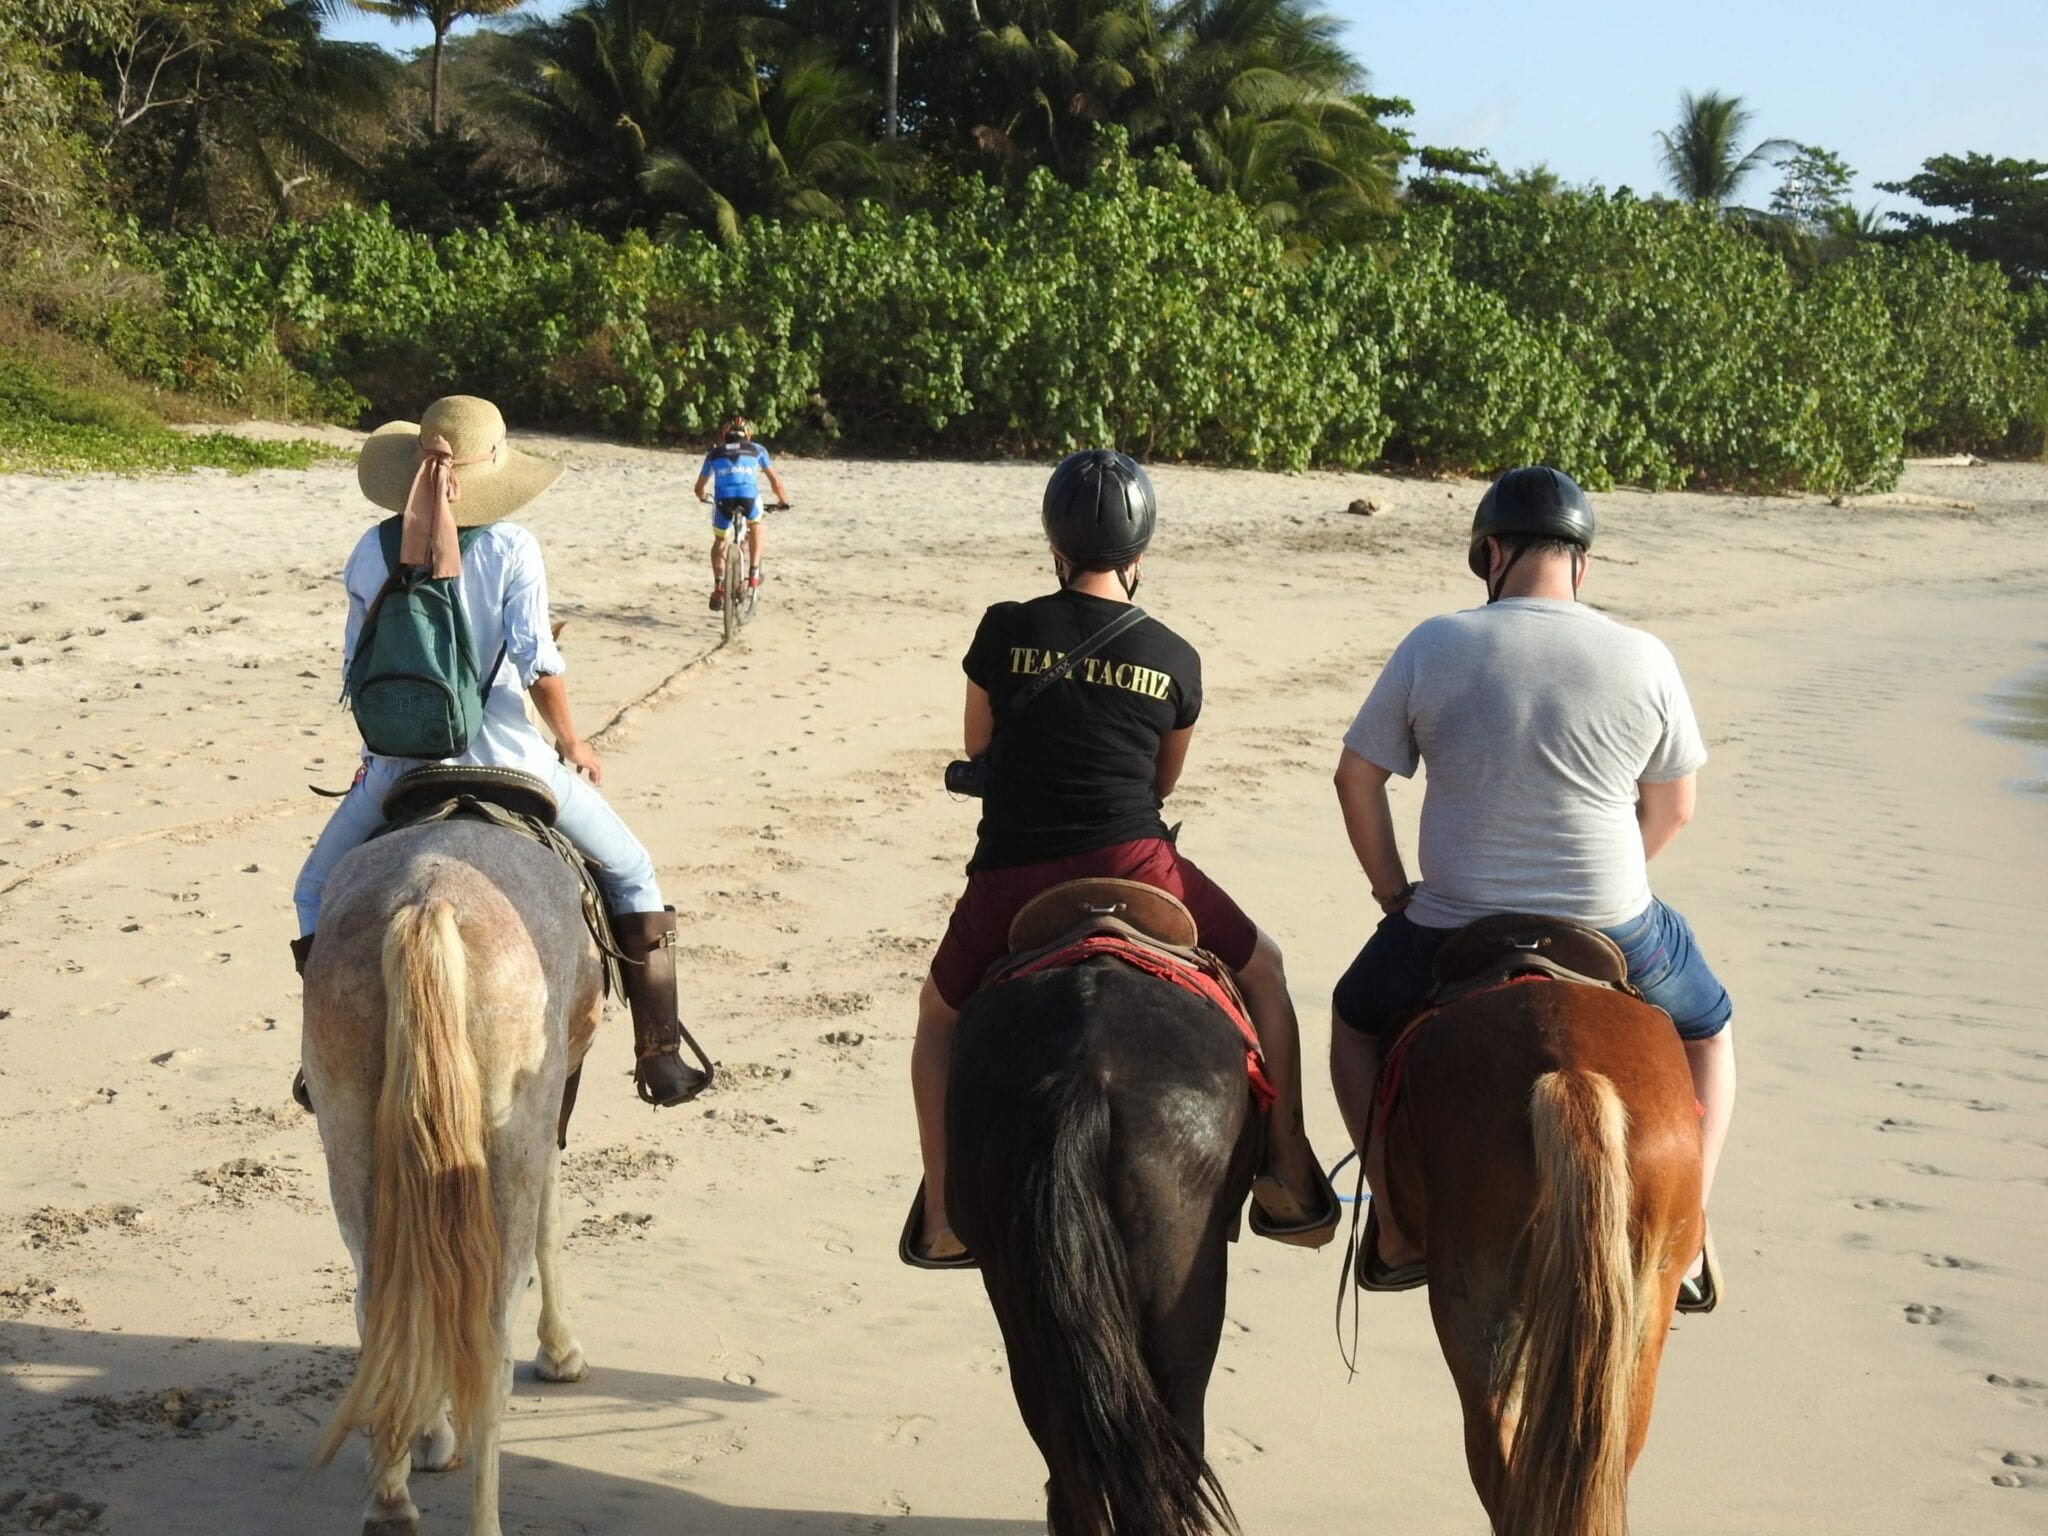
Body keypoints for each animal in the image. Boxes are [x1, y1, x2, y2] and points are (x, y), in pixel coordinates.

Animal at [301, 823, 598, 1531]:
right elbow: (551, 1227)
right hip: (510, 1148)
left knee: (384, 1307)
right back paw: (480, 1518)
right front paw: (560, 1353)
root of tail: (426, 901)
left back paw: (391, 1501)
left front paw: (430, 1439)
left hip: (350, 1139)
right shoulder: (555, 1100)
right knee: (489, 1341)